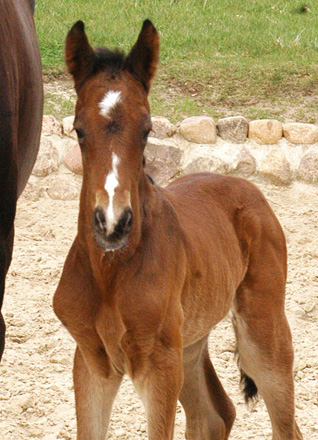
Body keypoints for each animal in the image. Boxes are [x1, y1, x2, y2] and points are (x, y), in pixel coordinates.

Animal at [54, 19, 304, 440]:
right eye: (79, 129)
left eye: (146, 129)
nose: (112, 223)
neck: (110, 274)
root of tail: (248, 189)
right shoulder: (91, 362)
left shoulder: (158, 366)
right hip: (189, 343)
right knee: (215, 415)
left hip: (260, 331)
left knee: (283, 424)